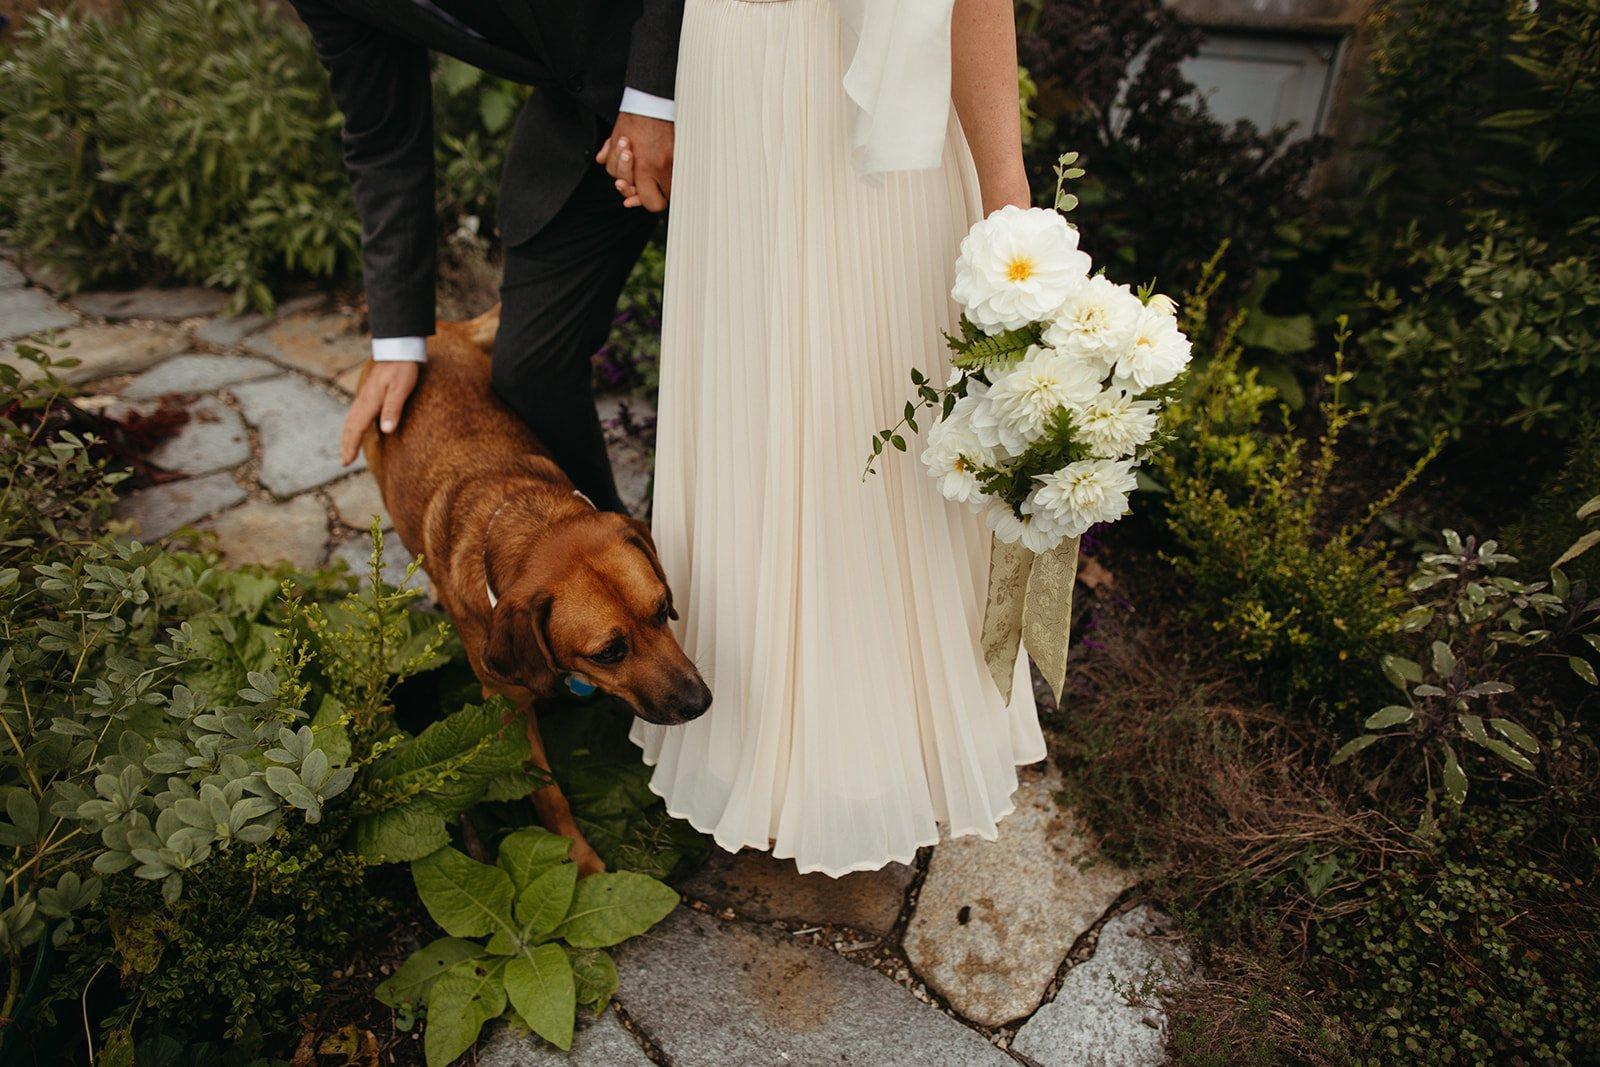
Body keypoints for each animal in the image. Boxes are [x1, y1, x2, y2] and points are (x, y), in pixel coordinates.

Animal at [360, 305, 712, 873]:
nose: (701, 703)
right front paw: (578, 861)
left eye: (662, 610)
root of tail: (441, 333)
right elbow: (547, 793)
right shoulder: (505, 710)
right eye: (609, 652)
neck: (527, 518)